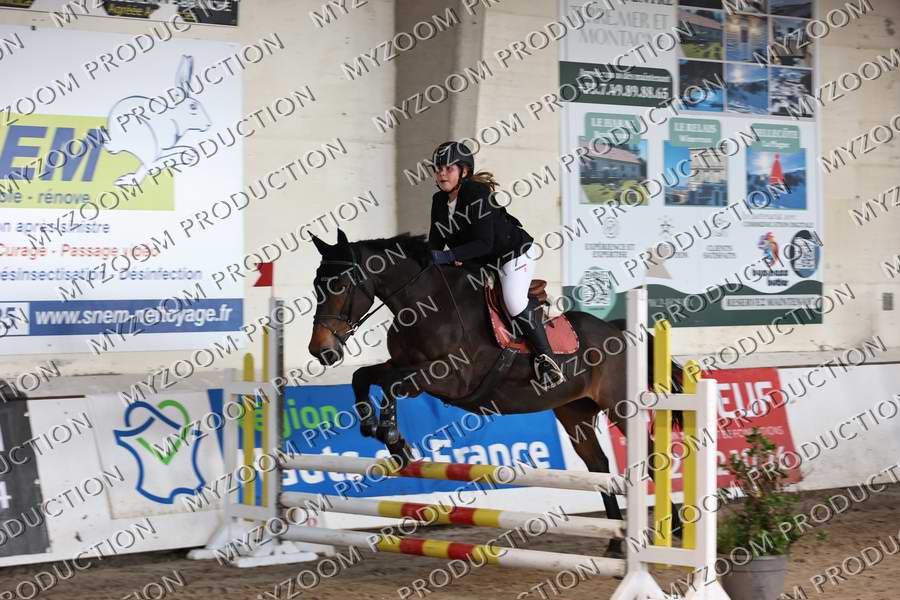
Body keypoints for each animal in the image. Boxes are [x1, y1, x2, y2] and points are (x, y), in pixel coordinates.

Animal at [306, 230, 683, 556]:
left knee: (651, 457)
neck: (423, 304)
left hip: (620, 406)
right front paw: (377, 431)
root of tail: (618, 331)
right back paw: (616, 542)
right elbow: (363, 376)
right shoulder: (405, 367)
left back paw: (675, 530)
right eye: (316, 284)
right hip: (574, 411)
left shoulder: (449, 377)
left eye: (340, 284)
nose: (321, 351)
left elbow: (391, 385)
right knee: (599, 465)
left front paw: (393, 437)